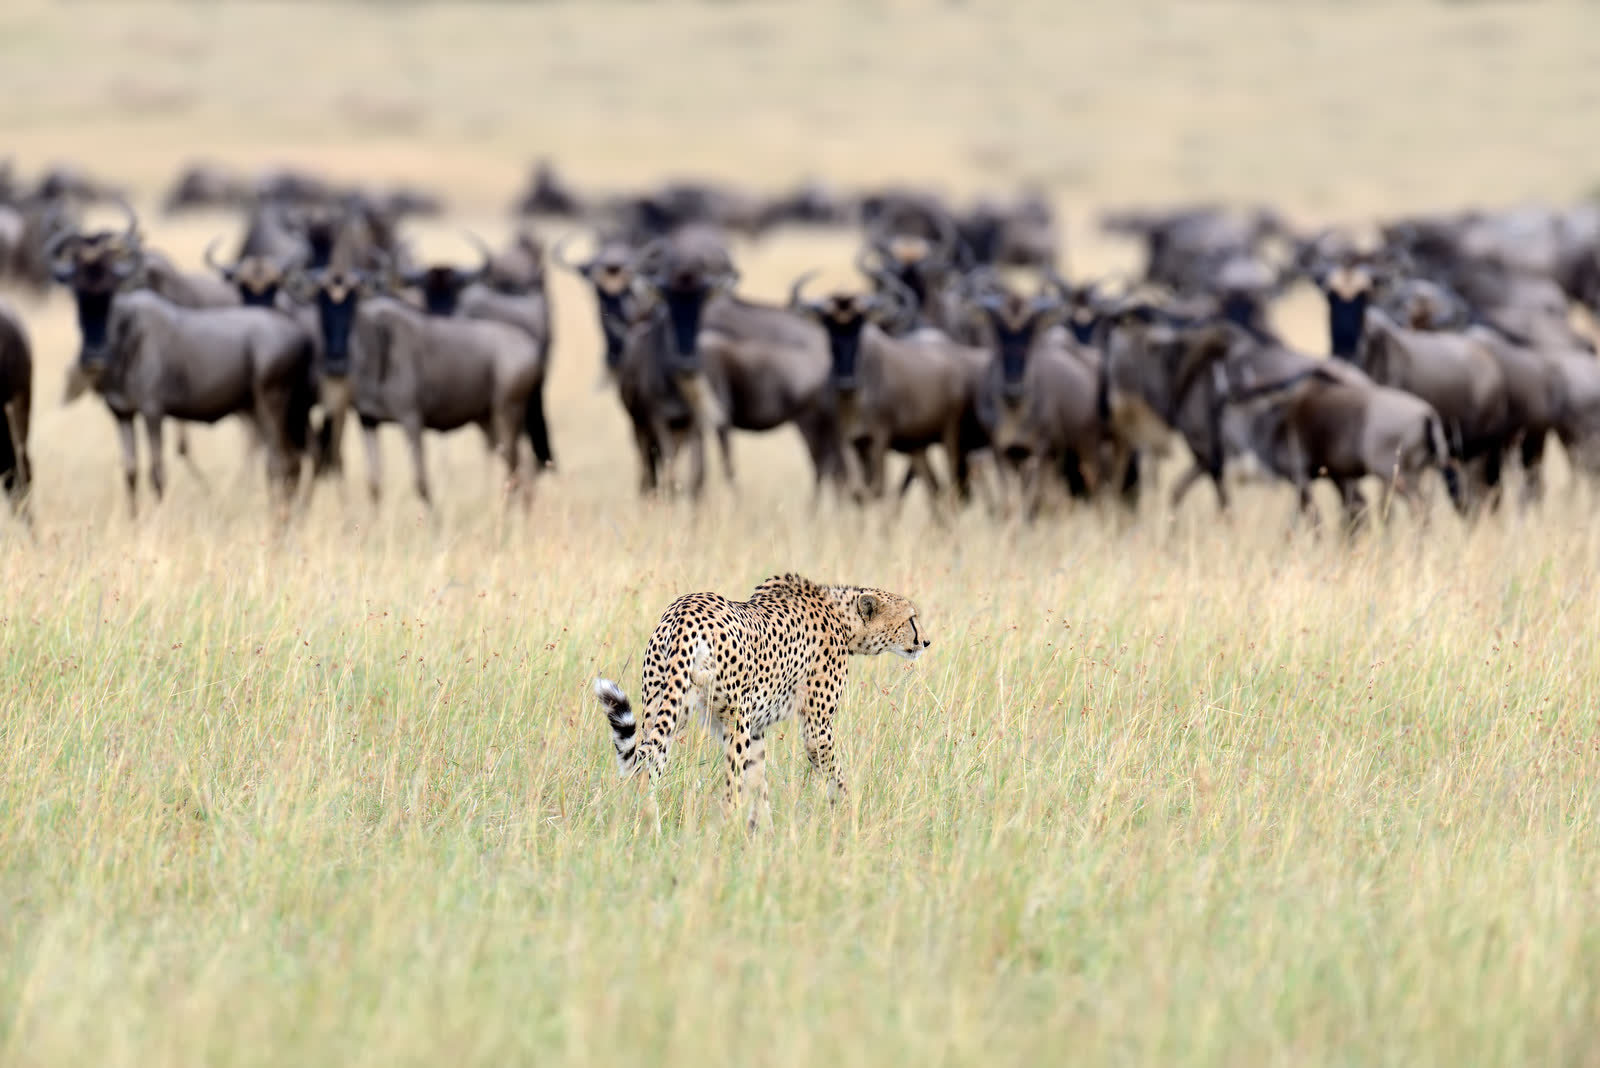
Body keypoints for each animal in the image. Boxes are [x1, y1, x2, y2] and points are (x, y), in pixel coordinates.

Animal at [592, 572, 931, 829]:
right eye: (912, 619)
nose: (926, 642)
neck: (843, 620)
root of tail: (685, 611)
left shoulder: (756, 729)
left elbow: (759, 781)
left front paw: (763, 832)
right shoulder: (816, 728)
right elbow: (833, 774)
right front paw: (850, 813)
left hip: (664, 707)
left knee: (645, 770)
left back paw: (649, 829)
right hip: (733, 720)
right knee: (729, 790)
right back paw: (726, 833)